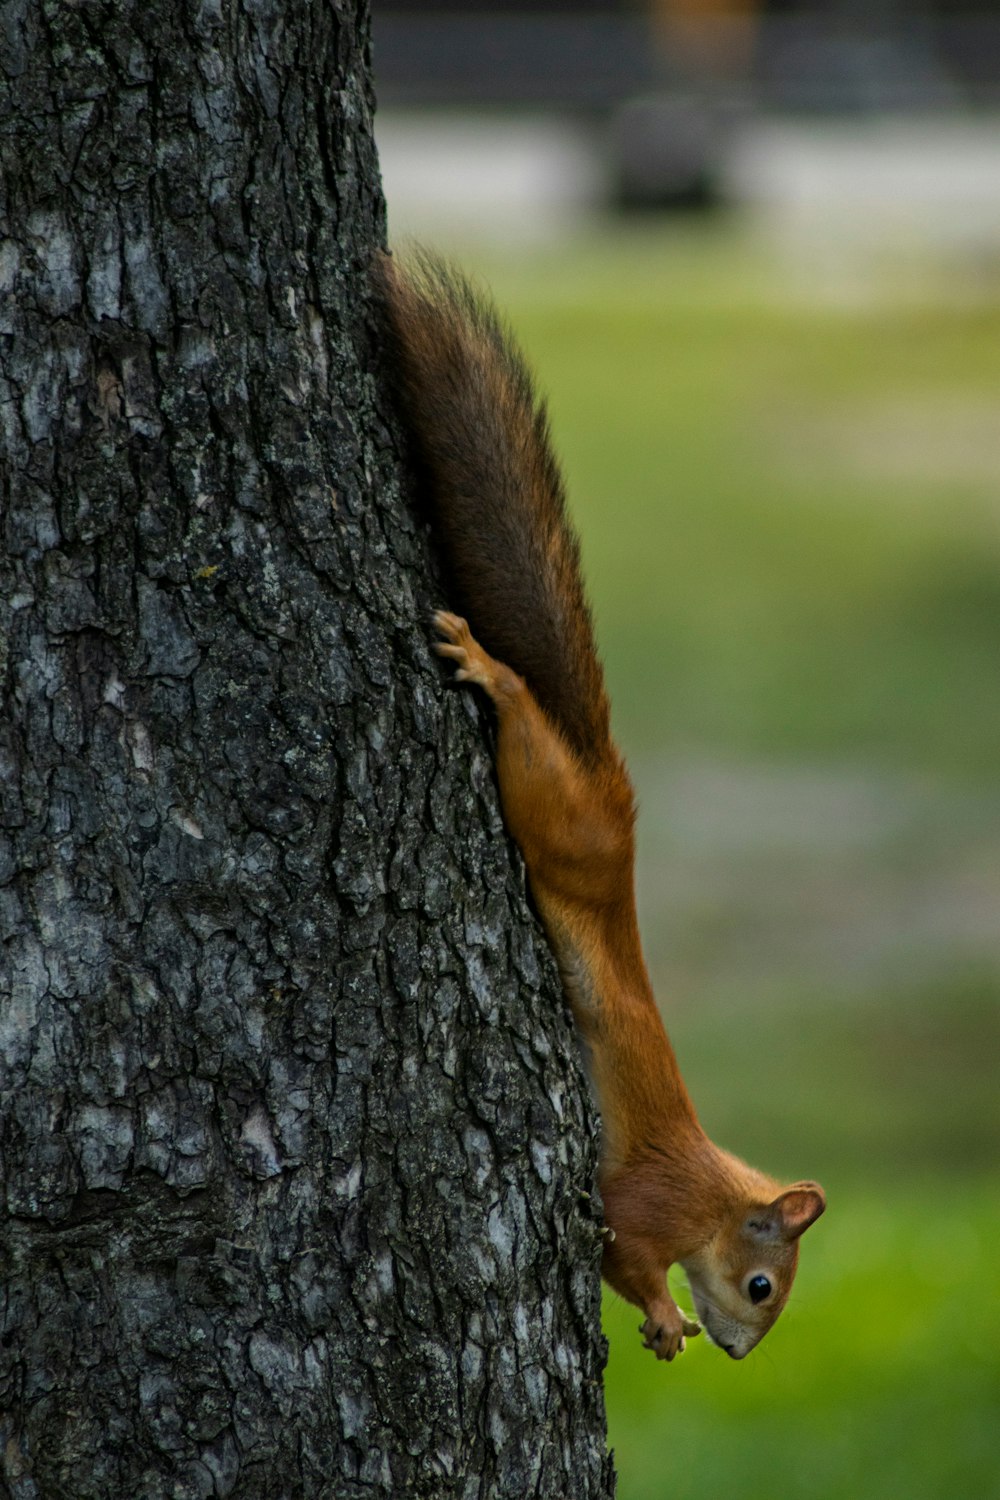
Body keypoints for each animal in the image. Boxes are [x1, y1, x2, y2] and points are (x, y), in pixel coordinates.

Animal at [371, 252, 827, 1368]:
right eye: (761, 1285)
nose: (741, 1355)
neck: (715, 1190)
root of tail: (612, 797)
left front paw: (668, 1328)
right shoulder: (648, 1201)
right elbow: (622, 1246)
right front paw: (666, 1317)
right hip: (553, 812)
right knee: (527, 731)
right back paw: (489, 668)